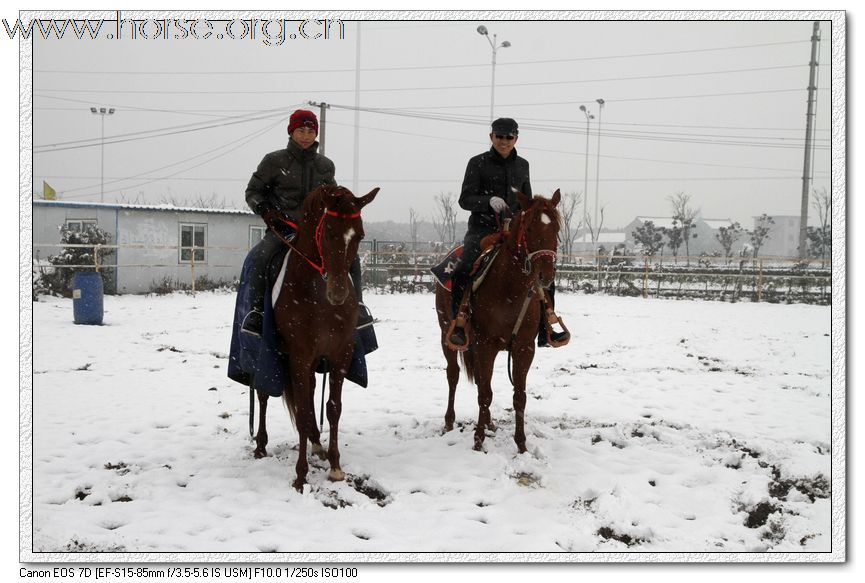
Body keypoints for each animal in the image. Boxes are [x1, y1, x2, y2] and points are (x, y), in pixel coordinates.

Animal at [253, 185, 382, 490]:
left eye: (359, 235)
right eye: (329, 233)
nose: (338, 293)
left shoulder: (340, 354)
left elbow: (333, 408)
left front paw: (335, 466)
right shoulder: (299, 357)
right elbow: (300, 411)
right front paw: (300, 476)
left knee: (310, 392)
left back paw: (316, 442)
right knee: (262, 392)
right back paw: (261, 445)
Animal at [436, 189, 564, 454]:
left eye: (556, 228)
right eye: (530, 228)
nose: (545, 275)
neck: (510, 289)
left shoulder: (524, 347)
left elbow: (518, 395)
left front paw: (521, 444)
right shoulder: (486, 345)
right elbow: (484, 393)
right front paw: (478, 441)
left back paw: (489, 423)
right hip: (446, 334)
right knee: (453, 374)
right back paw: (449, 422)